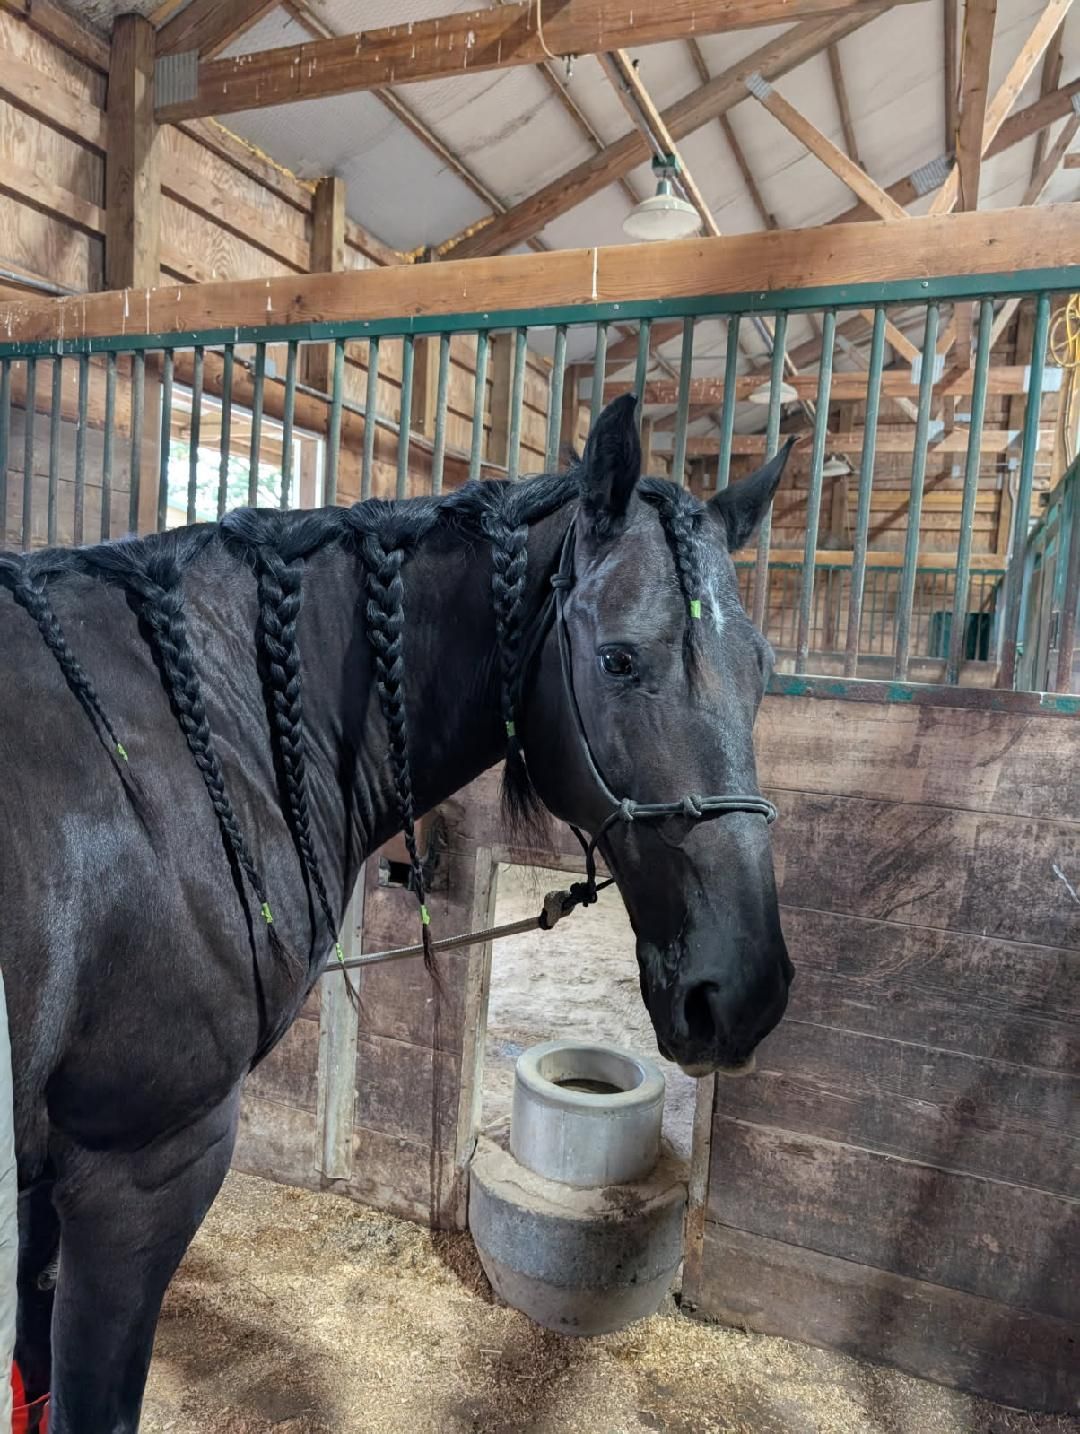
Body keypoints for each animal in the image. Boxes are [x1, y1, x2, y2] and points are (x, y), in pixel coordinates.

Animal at [0, 392, 793, 1432]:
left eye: (763, 669)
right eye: (619, 660)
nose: (747, 994)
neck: (169, 755)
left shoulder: (45, 1177)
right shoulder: (138, 1169)